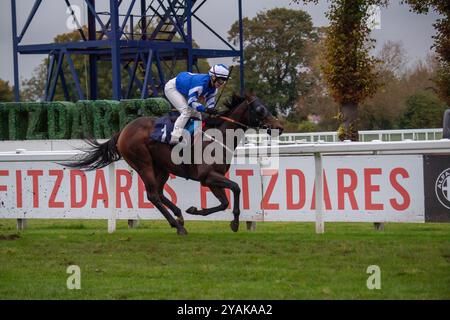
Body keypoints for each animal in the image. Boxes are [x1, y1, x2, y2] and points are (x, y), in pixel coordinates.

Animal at [65, 93, 284, 235]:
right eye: (260, 109)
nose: (279, 127)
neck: (218, 137)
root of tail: (123, 131)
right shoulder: (207, 177)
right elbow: (236, 188)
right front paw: (234, 222)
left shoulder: (212, 180)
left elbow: (225, 202)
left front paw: (200, 212)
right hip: (143, 163)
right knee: (153, 195)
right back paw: (177, 225)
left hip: (161, 167)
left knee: (160, 192)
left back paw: (179, 216)